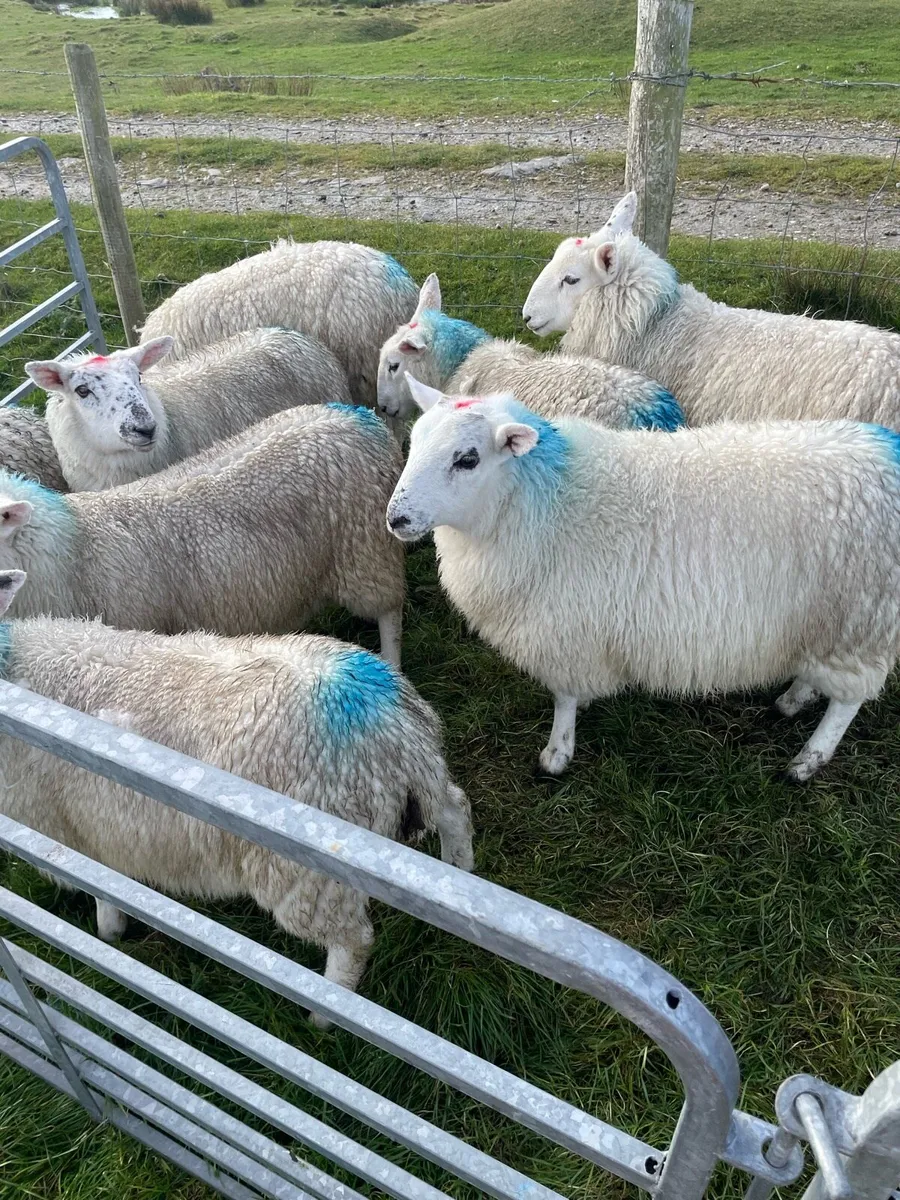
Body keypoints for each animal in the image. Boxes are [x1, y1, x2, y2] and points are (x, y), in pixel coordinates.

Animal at [0, 570, 473, 1023]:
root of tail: (386, 723)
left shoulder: (70, 832)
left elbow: (101, 894)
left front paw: (107, 937)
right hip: (424, 784)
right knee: (456, 811)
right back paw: (460, 878)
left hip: (308, 875)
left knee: (352, 943)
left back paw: (322, 1017)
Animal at [386, 376, 900, 782]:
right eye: (416, 440)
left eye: (468, 459)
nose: (396, 519)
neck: (548, 500)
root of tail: (889, 452)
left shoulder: (567, 631)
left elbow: (563, 698)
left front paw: (556, 754)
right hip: (830, 620)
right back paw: (793, 699)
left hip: (864, 619)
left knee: (848, 701)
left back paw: (807, 760)